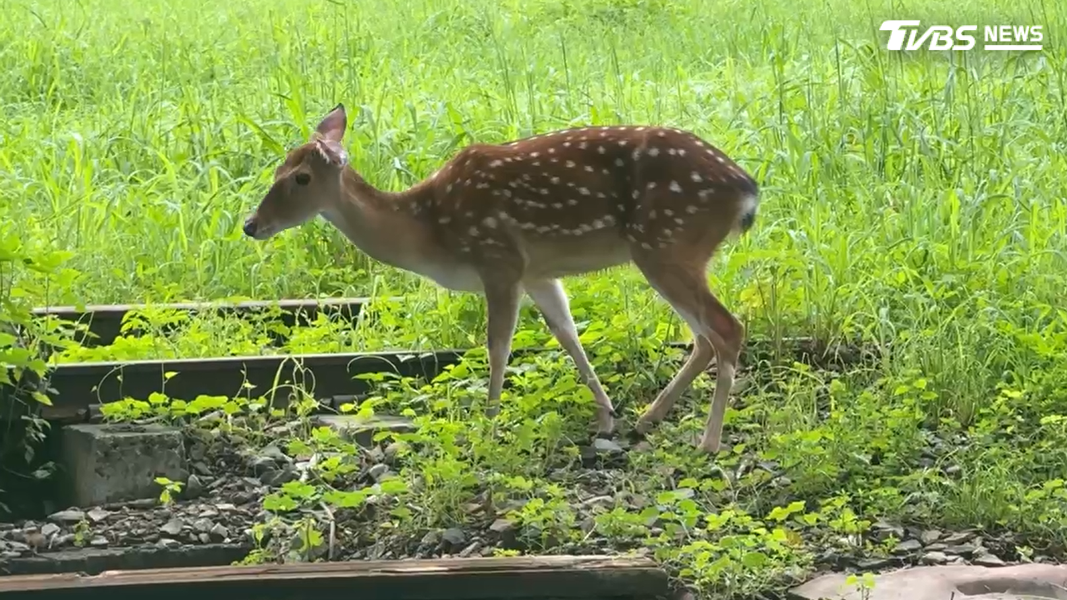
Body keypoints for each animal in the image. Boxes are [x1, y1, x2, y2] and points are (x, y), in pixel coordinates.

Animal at [242, 104, 760, 454]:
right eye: (277, 167)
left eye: (301, 178)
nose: (251, 225)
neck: (429, 230)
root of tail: (747, 190)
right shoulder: (538, 273)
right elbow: (567, 334)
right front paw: (607, 416)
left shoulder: (499, 260)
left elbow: (498, 345)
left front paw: (488, 423)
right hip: (669, 251)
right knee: (704, 337)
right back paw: (647, 419)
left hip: (666, 243)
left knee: (727, 328)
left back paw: (708, 441)